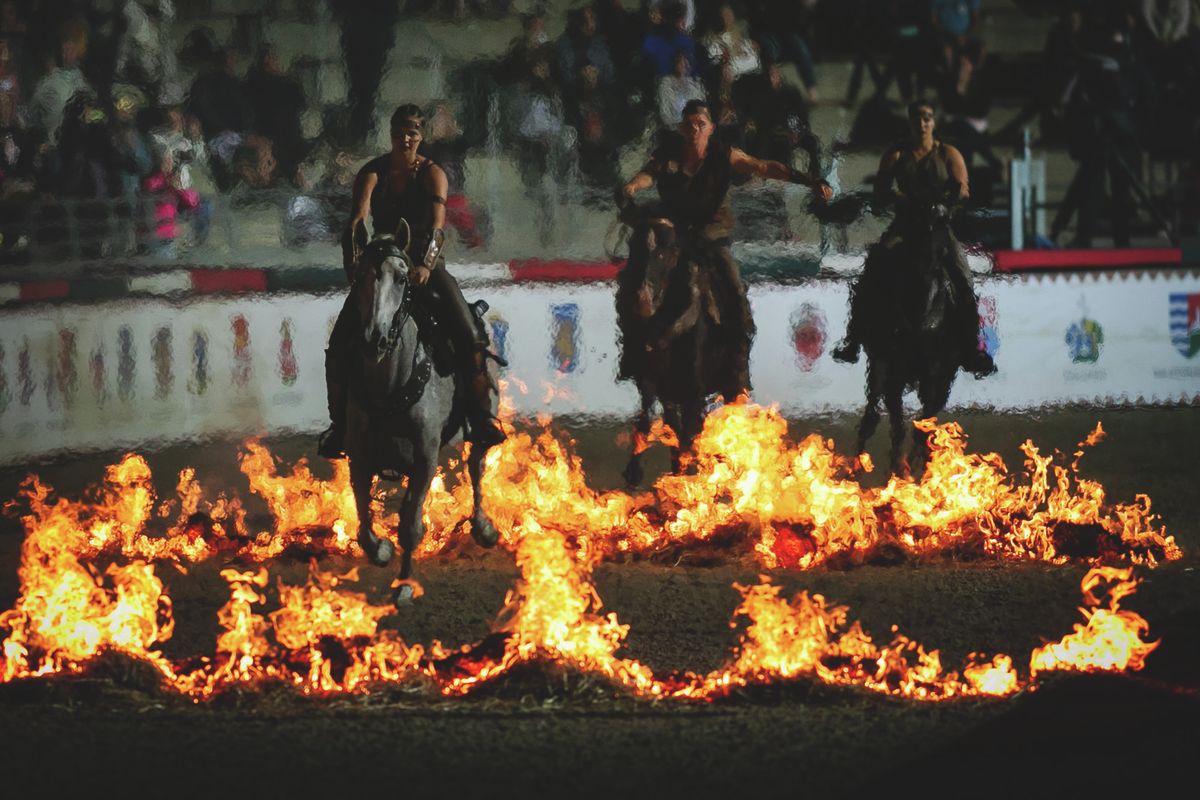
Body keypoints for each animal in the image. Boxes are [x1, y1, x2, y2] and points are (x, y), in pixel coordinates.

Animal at [345, 219, 499, 599]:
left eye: (403, 279)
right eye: (359, 276)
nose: (374, 339)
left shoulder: (425, 457)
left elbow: (411, 525)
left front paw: (404, 585)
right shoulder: (359, 455)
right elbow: (363, 518)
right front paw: (381, 550)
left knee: (477, 467)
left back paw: (484, 528)